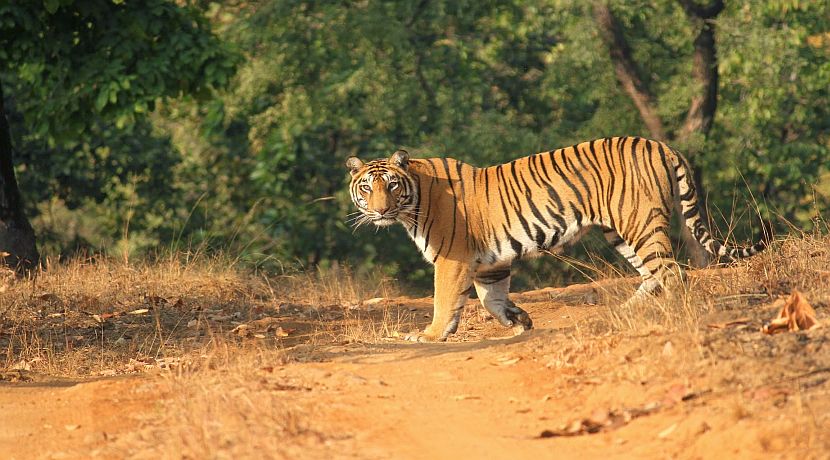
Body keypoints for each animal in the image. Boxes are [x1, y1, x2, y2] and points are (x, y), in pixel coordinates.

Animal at [345, 136, 765, 342]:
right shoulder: (490, 264)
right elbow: (491, 299)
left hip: (639, 222)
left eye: (391, 186)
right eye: (367, 187)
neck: (413, 200)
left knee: (671, 272)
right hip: (622, 231)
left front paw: (430, 335)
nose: (379, 211)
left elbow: (445, 301)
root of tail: (659, 144)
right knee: (653, 274)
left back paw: (671, 313)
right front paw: (519, 321)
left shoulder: (452, 259)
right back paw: (622, 312)